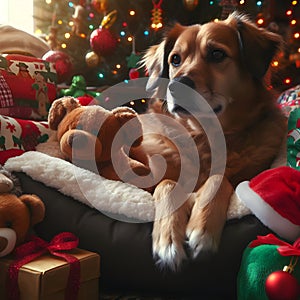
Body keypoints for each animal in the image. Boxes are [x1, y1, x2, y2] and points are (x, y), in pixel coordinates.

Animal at [139, 12, 288, 270]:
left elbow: (219, 178)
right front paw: (167, 239)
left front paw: (203, 229)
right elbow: (167, 184)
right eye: (175, 59)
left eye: (217, 54)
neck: (203, 137)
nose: (176, 86)